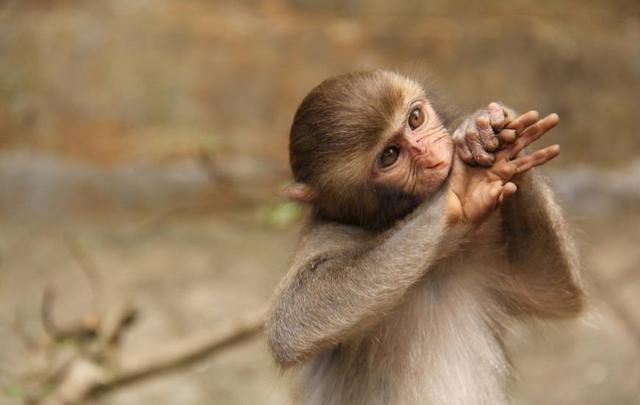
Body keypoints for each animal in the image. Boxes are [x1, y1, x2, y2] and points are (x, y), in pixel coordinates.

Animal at [268, 70, 584, 404]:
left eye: (415, 118)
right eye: (390, 155)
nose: (433, 154)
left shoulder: (485, 241)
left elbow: (551, 291)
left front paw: (481, 129)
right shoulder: (326, 233)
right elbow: (292, 320)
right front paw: (462, 189)